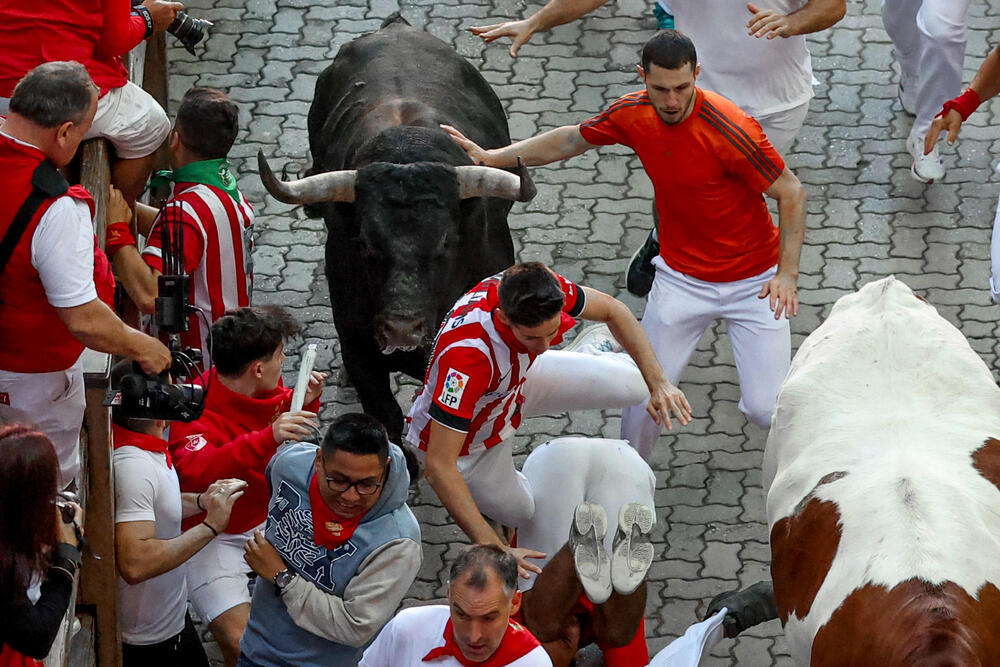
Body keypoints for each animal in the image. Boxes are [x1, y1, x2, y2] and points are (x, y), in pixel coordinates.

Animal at [262, 14, 536, 444]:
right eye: (364, 244)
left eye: (445, 242)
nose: (402, 330)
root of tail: (395, 27)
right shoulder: (358, 346)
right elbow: (387, 416)